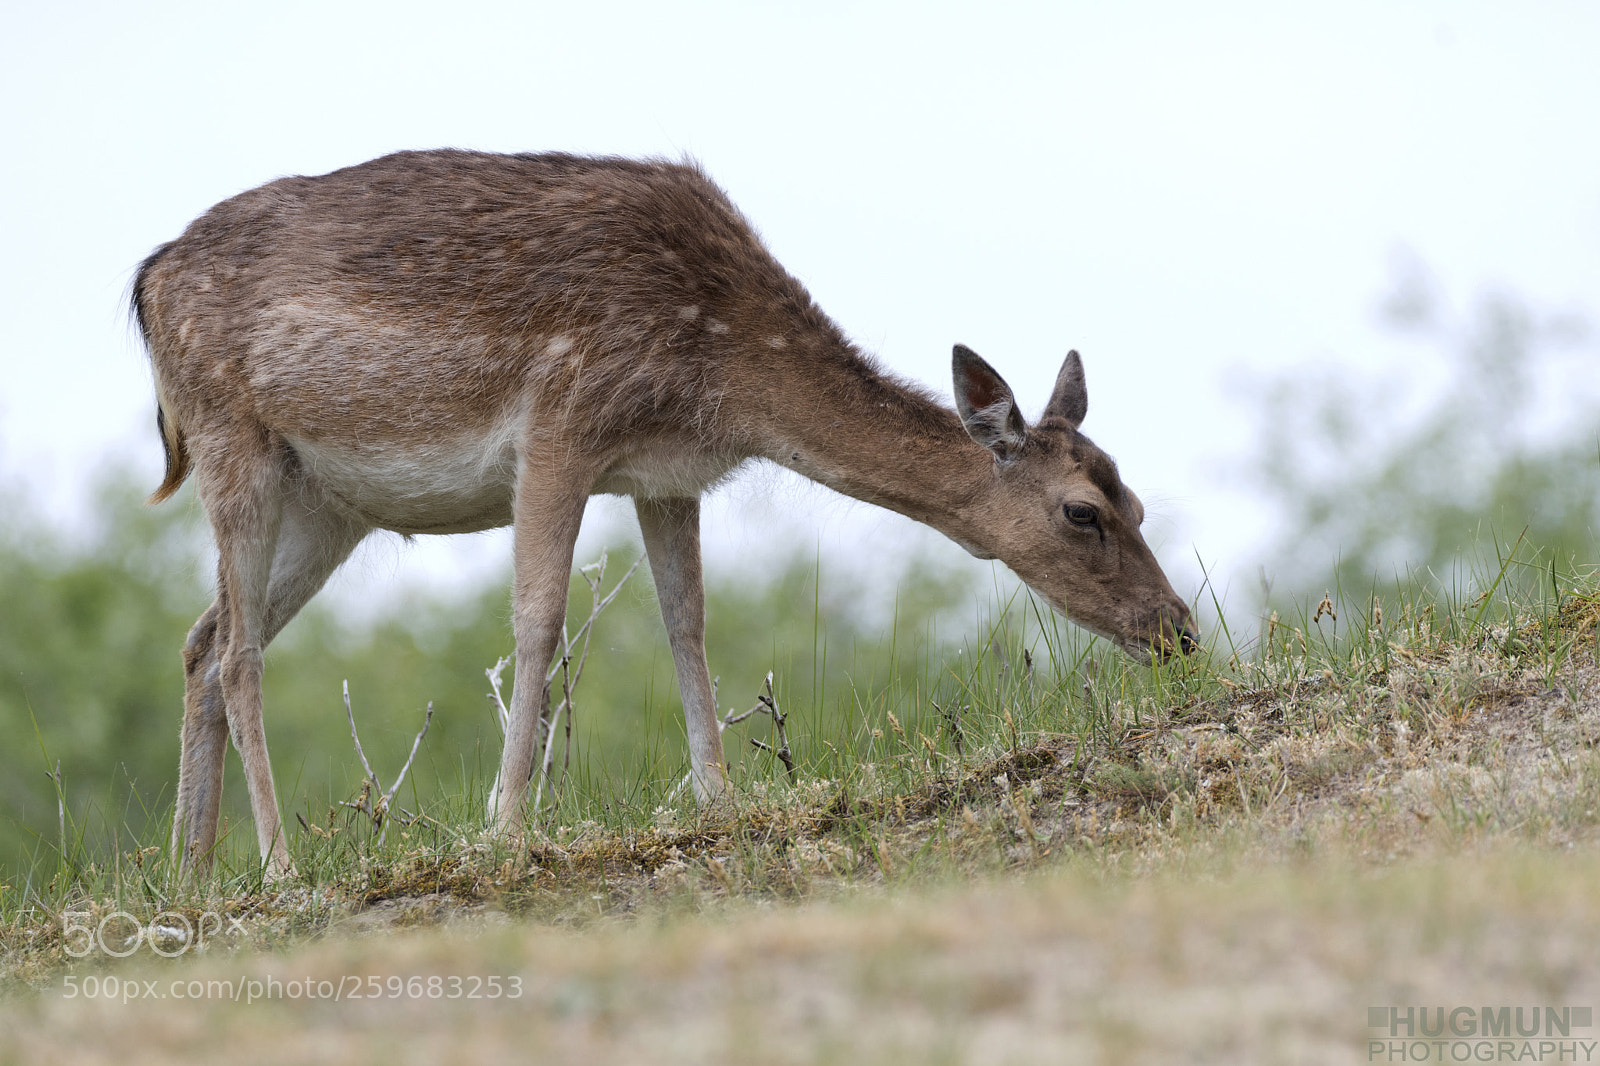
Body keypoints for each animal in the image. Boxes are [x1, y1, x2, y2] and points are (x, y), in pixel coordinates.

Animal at [132, 149, 1198, 879]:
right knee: (237, 652)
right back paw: (278, 866)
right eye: (1083, 513)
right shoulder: (561, 422)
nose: (1179, 629)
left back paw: (190, 872)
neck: (723, 371)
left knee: (200, 636)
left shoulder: (663, 476)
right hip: (232, 441)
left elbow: (687, 622)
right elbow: (539, 620)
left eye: (1139, 498)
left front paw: (719, 798)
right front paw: (505, 826)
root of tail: (147, 283)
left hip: (331, 504)